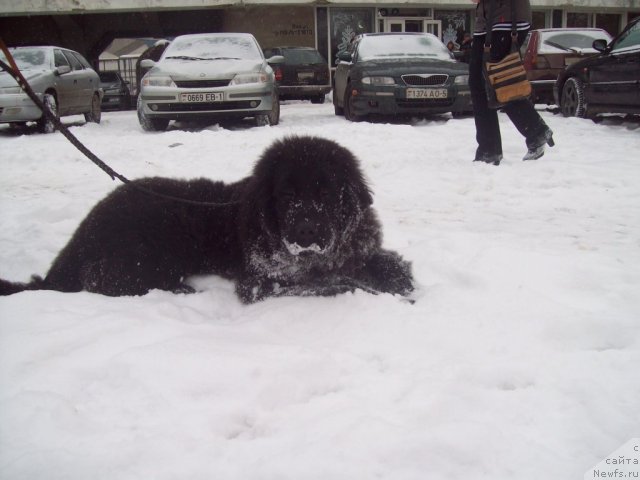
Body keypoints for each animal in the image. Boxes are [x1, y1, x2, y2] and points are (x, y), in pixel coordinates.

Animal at [0, 135, 416, 302]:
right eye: (287, 195)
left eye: (326, 193)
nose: (306, 230)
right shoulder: (262, 282)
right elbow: (336, 283)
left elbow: (382, 263)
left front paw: (399, 280)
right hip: (148, 253)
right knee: (111, 283)